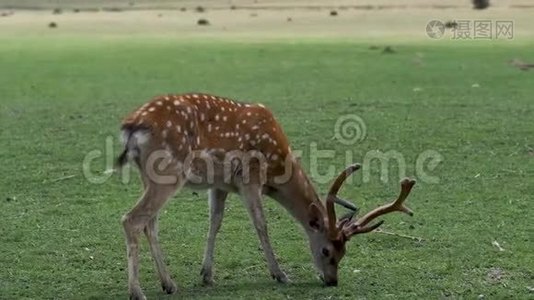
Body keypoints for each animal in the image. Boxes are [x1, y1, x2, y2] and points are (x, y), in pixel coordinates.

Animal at [118, 92, 418, 298]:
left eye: (344, 252)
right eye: (327, 250)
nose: (332, 280)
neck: (277, 169)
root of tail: (131, 127)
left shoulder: (221, 185)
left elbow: (215, 223)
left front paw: (207, 275)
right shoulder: (251, 177)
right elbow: (261, 224)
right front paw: (280, 274)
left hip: (151, 177)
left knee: (150, 223)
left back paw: (168, 283)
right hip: (169, 173)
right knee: (132, 219)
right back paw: (137, 291)